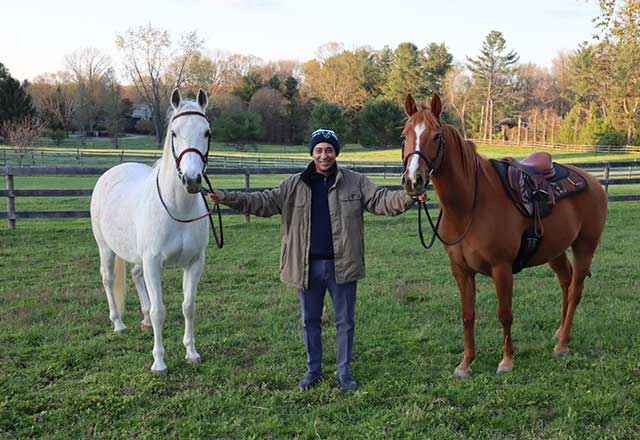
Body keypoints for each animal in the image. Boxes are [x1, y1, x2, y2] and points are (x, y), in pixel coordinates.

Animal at [90, 88, 212, 372]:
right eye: (174, 133)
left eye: (207, 132)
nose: (192, 180)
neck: (178, 208)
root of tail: (113, 171)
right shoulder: (153, 263)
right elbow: (160, 311)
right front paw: (159, 362)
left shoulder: (194, 263)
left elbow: (189, 307)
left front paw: (191, 352)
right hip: (106, 248)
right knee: (108, 279)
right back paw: (118, 323)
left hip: (137, 257)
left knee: (136, 275)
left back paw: (143, 320)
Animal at [402, 93, 608, 378]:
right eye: (404, 135)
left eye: (437, 136)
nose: (414, 181)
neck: (470, 205)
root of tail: (594, 181)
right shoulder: (461, 270)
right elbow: (468, 314)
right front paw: (466, 363)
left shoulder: (502, 268)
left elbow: (505, 313)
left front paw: (507, 361)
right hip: (555, 251)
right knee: (565, 283)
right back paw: (559, 333)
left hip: (585, 246)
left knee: (576, 290)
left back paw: (563, 344)